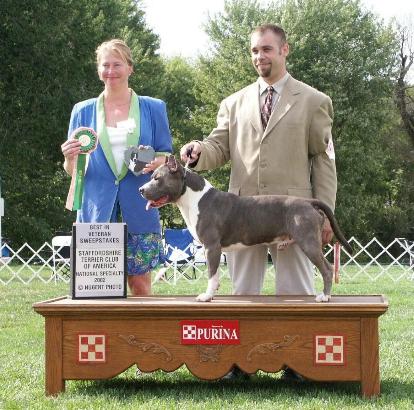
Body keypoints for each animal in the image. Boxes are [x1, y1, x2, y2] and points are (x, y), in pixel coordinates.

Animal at [140, 155, 353, 303]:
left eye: (157, 178)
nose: (141, 190)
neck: (195, 198)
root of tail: (309, 202)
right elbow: (215, 275)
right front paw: (213, 292)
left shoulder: (211, 247)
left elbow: (211, 273)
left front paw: (206, 296)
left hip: (309, 243)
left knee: (327, 269)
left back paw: (324, 296)